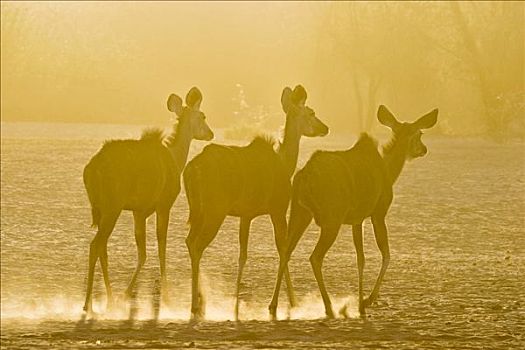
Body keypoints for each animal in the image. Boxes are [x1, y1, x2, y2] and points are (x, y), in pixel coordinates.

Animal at [82, 87, 213, 314]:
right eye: (203, 116)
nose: (210, 133)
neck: (177, 159)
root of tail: (90, 170)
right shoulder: (163, 204)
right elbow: (160, 247)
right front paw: (165, 296)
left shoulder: (138, 211)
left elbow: (142, 251)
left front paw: (124, 295)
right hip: (112, 207)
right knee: (95, 245)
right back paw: (88, 303)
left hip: (101, 209)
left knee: (102, 248)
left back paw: (108, 298)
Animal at [182, 85, 326, 320]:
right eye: (311, 112)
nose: (325, 127)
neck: (285, 163)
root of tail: (190, 170)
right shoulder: (277, 209)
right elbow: (283, 249)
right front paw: (286, 302)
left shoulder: (246, 215)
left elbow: (243, 254)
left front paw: (236, 302)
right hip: (214, 211)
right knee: (197, 245)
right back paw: (195, 304)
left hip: (199, 211)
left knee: (189, 241)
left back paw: (200, 302)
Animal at [268, 105, 436, 318]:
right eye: (420, 133)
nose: (423, 149)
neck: (389, 171)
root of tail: (304, 177)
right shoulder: (378, 212)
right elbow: (386, 254)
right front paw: (366, 301)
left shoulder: (357, 219)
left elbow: (360, 258)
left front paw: (360, 302)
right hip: (332, 219)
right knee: (315, 257)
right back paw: (328, 305)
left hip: (299, 213)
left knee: (285, 250)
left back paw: (275, 305)